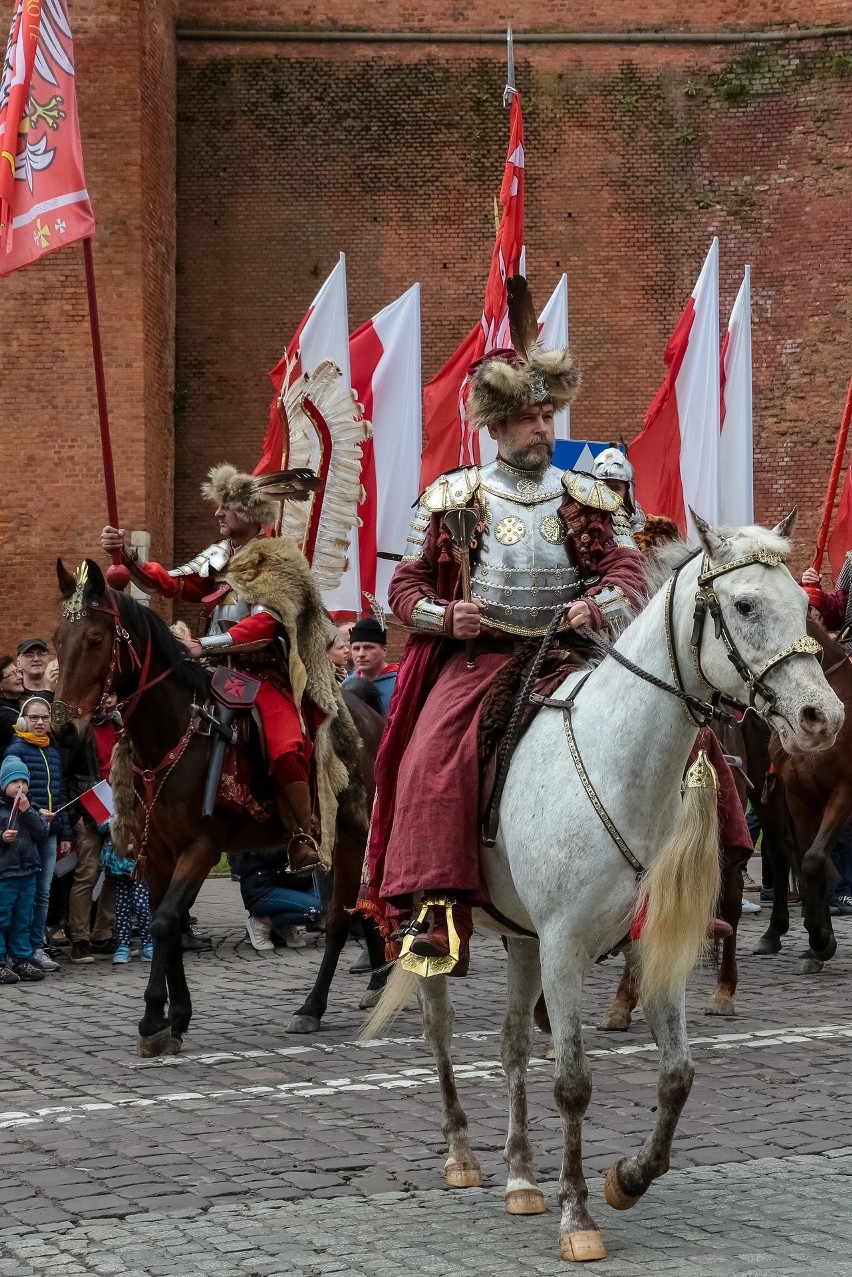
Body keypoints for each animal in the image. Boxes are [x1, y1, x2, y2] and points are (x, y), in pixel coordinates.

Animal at [52, 561, 383, 1057]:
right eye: (57, 639)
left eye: (94, 640)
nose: (63, 731)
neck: (176, 731)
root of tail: (374, 717)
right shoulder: (158, 855)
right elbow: (165, 923)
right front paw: (176, 1017)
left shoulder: (201, 849)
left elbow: (164, 922)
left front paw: (153, 1018)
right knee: (350, 913)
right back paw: (354, 990)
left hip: (354, 835)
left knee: (348, 915)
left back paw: (338, 997)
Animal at [365, 513, 837, 1261]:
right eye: (744, 606)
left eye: (804, 605)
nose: (823, 716)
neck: (622, 767)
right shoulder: (565, 948)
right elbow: (574, 1083)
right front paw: (579, 1215)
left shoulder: (651, 943)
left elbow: (677, 1075)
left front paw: (627, 1178)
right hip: (442, 919)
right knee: (442, 1028)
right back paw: (464, 1154)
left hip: (525, 941)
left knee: (511, 1042)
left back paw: (522, 1176)